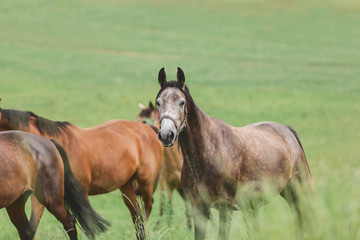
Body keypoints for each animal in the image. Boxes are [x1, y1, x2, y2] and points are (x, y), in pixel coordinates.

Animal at [0, 109, 162, 240]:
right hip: (126, 186)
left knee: (146, 208)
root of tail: (150, 129)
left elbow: (88, 225)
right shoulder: (40, 196)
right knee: (137, 216)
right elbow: (32, 227)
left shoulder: (78, 193)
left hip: (145, 183)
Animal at [156, 67, 314, 240]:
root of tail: (286, 131)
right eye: (158, 102)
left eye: (181, 102)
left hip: (297, 194)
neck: (207, 150)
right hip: (254, 207)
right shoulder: (198, 208)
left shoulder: (225, 207)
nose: (166, 135)